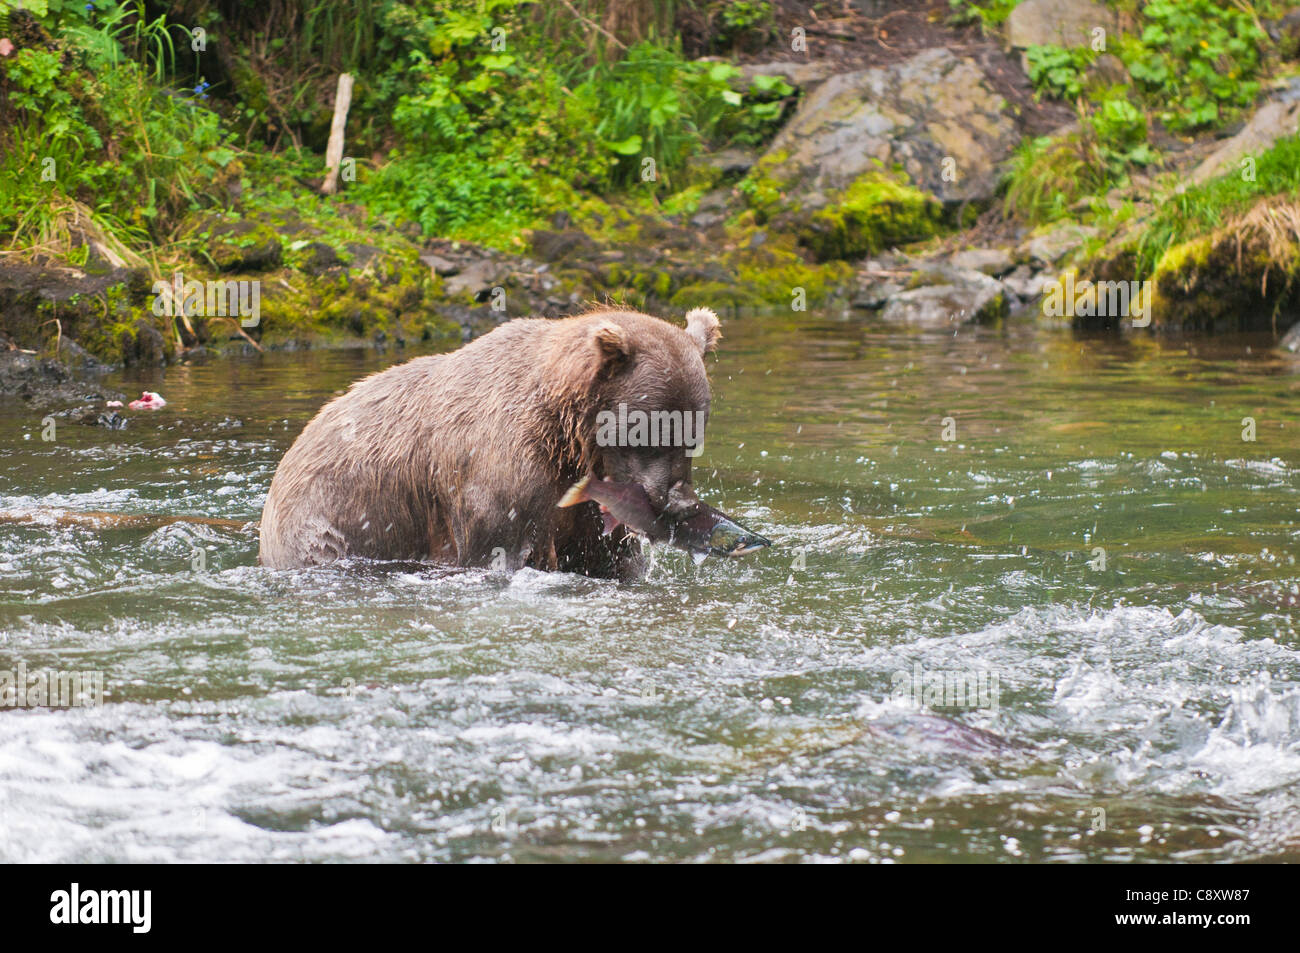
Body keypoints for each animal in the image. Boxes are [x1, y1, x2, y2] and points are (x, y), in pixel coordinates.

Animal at [258, 306, 722, 578]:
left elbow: (610, 553)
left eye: (694, 432)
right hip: (328, 523)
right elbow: (499, 545)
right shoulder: (498, 469)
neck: (564, 434)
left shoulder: (587, 499)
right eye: (653, 430)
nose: (680, 501)